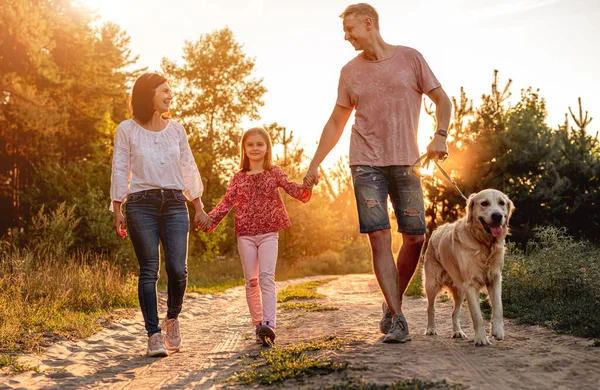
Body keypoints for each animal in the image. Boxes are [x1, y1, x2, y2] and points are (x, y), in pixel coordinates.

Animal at [422, 188, 516, 344]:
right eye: (484, 203)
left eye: (502, 203)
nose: (497, 216)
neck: (484, 244)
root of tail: (437, 230)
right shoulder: (471, 284)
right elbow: (477, 315)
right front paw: (481, 338)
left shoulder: (495, 278)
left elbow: (499, 307)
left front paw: (497, 330)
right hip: (432, 284)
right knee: (430, 308)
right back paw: (430, 328)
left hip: (459, 290)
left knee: (454, 313)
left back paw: (458, 332)